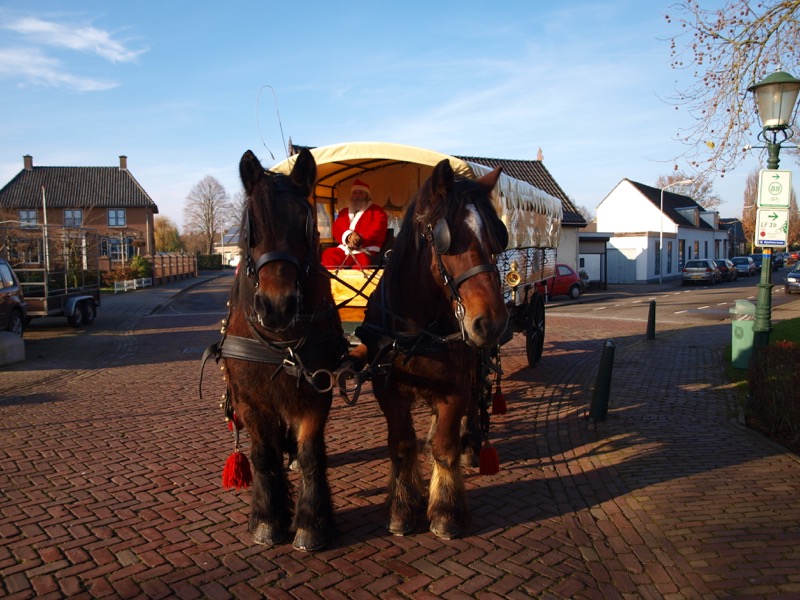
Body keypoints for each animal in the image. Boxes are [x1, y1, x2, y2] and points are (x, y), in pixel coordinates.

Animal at [214, 148, 346, 552]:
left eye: (306, 224)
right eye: (250, 228)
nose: (276, 306)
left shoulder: (317, 394)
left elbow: (311, 453)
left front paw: (312, 524)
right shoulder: (251, 401)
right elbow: (263, 456)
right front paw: (267, 519)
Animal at [354, 158, 510, 540]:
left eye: (496, 237)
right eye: (444, 239)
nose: (493, 322)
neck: (416, 331)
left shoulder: (455, 388)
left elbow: (445, 445)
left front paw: (445, 511)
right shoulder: (387, 390)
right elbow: (401, 444)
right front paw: (402, 508)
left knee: (473, 407)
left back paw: (471, 446)